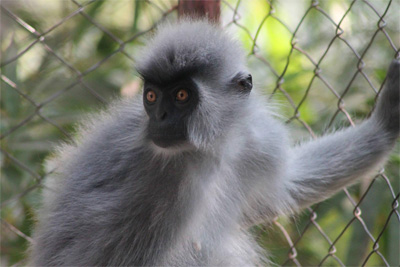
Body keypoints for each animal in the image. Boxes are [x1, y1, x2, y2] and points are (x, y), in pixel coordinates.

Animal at [29, 20, 398, 266]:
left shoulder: (254, 142)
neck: (211, 146)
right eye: (152, 95)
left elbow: (291, 183)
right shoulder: (163, 185)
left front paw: (385, 123)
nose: (159, 116)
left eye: (181, 95)